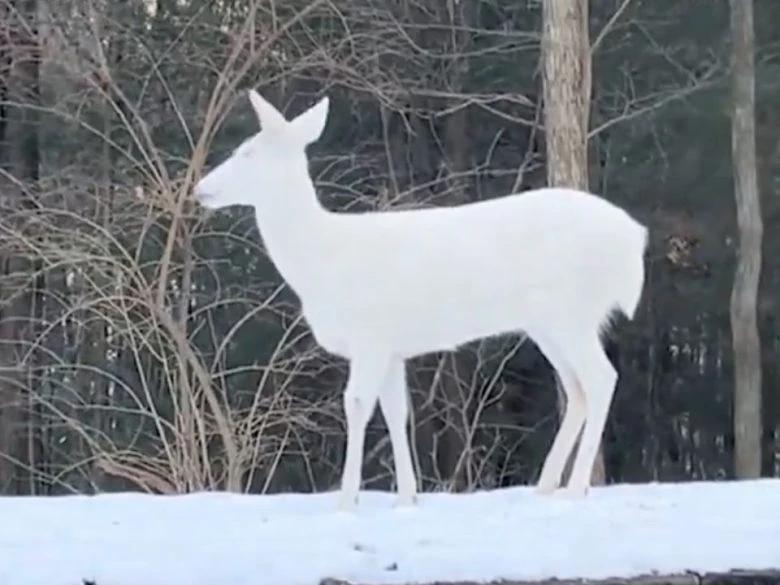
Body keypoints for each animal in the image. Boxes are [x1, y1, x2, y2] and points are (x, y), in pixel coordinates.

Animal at [193, 89, 648, 512]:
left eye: (248, 152)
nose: (200, 189)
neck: (322, 260)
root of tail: (634, 239)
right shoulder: (393, 348)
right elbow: (397, 411)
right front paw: (407, 497)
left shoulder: (370, 335)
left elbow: (356, 405)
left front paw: (346, 501)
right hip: (548, 323)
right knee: (577, 388)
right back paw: (547, 485)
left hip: (570, 311)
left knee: (601, 378)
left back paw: (574, 488)